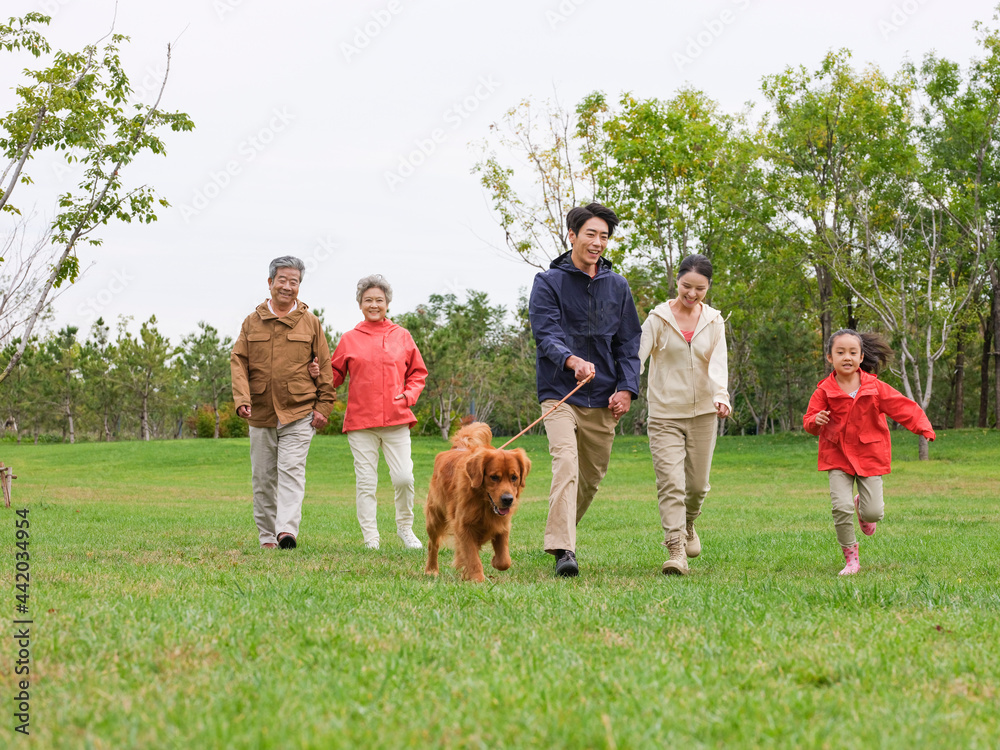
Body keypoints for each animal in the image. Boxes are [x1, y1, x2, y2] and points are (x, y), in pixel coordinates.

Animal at [424, 424, 532, 580]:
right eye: (494, 477)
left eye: (514, 477)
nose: (508, 500)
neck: (484, 503)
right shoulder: (463, 526)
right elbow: (472, 557)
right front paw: (477, 579)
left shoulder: (502, 524)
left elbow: (504, 560)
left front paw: (494, 562)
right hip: (435, 517)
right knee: (433, 544)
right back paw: (431, 569)